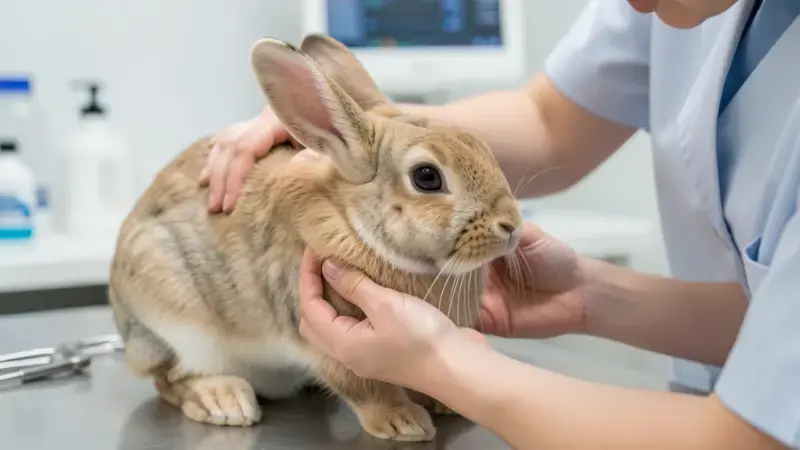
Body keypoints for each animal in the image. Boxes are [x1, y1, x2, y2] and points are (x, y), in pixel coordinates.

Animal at [107, 33, 524, 443]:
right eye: (427, 177)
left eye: (484, 148)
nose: (512, 226)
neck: (358, 229)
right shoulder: (332, 347)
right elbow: (366, 388)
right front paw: (404, 423)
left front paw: (442, 404)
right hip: (178, 322)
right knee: (170, 377)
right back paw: (224, 400)